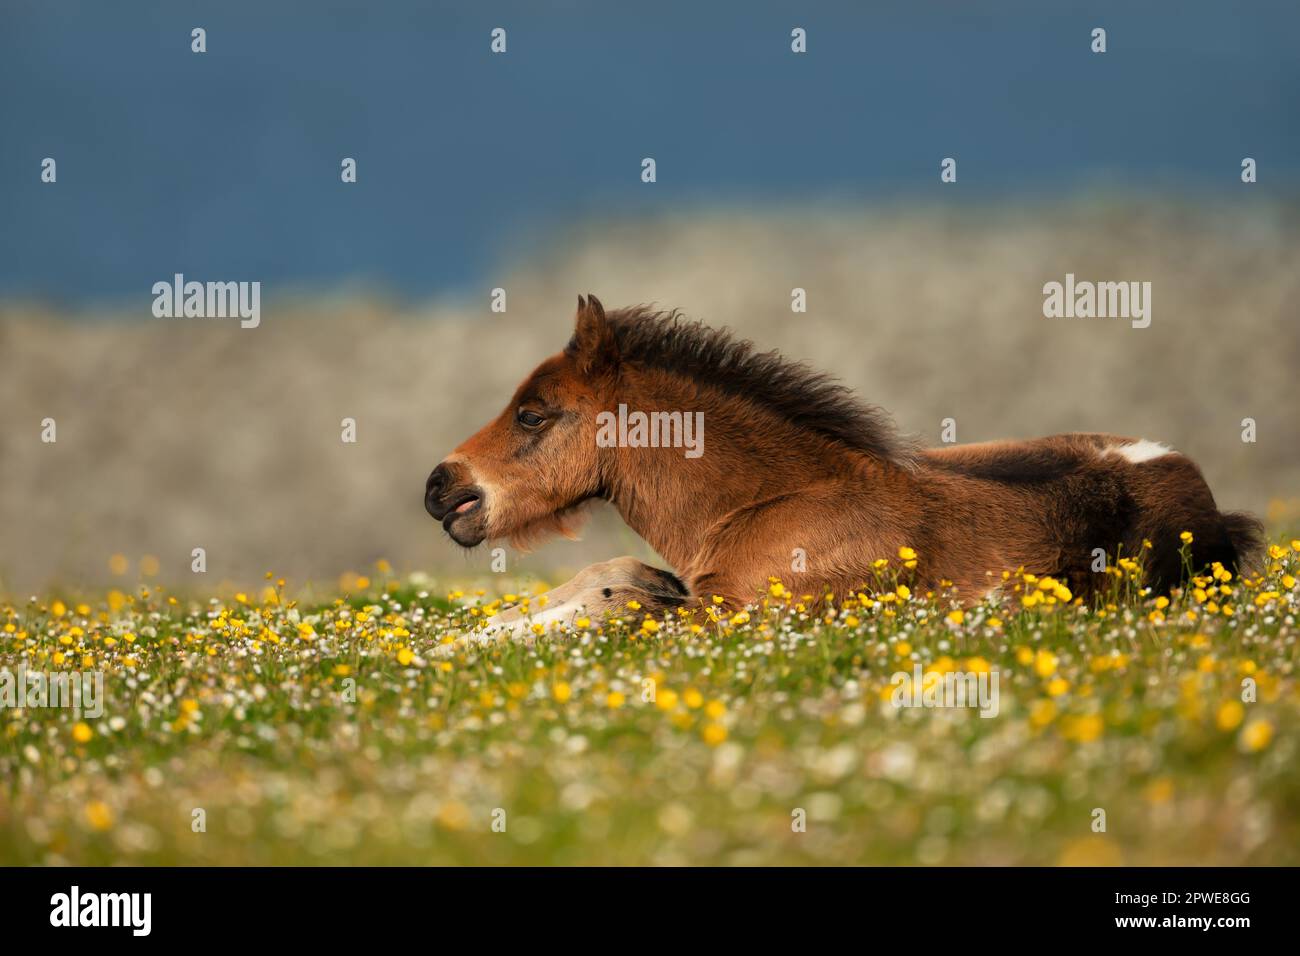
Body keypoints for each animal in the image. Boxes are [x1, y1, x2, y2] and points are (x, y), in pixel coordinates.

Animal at [423, 293, 1258, 650]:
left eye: (534, 413)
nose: (441, 487)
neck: (772, 503)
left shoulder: (739, 615)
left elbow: (621, 606)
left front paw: (457, 648)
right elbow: (617, 576)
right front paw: (470, 633)